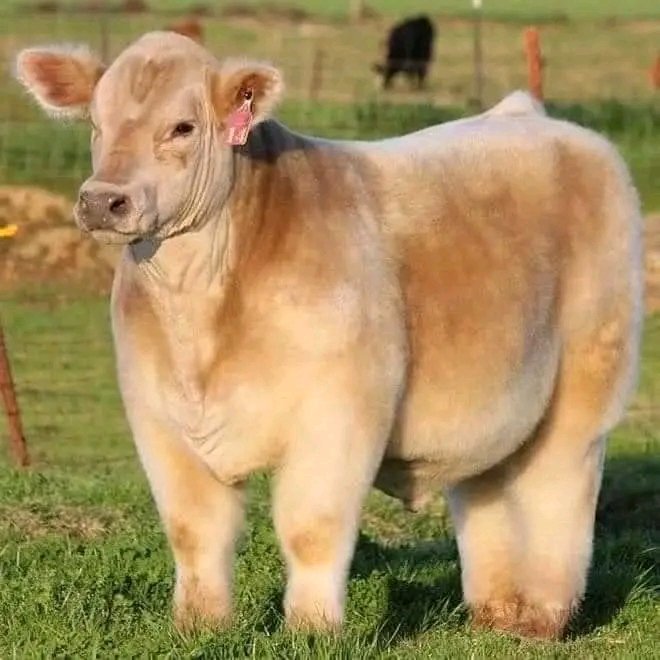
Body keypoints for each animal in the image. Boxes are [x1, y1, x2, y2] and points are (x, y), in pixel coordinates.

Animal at [14, 32, 643, 640]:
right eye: (96, 122)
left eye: (183, 127)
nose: (103, 200)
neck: (201, 315)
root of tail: (531, 115)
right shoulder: (158, 419)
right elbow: (194, 530)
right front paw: (199, 629)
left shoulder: (337, 414)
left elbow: (311, 529)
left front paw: (312, 631)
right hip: (492, 403)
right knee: (487, 487)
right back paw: (496, 615)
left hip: (585, 384)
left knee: (558, 488)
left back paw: (543, 618)